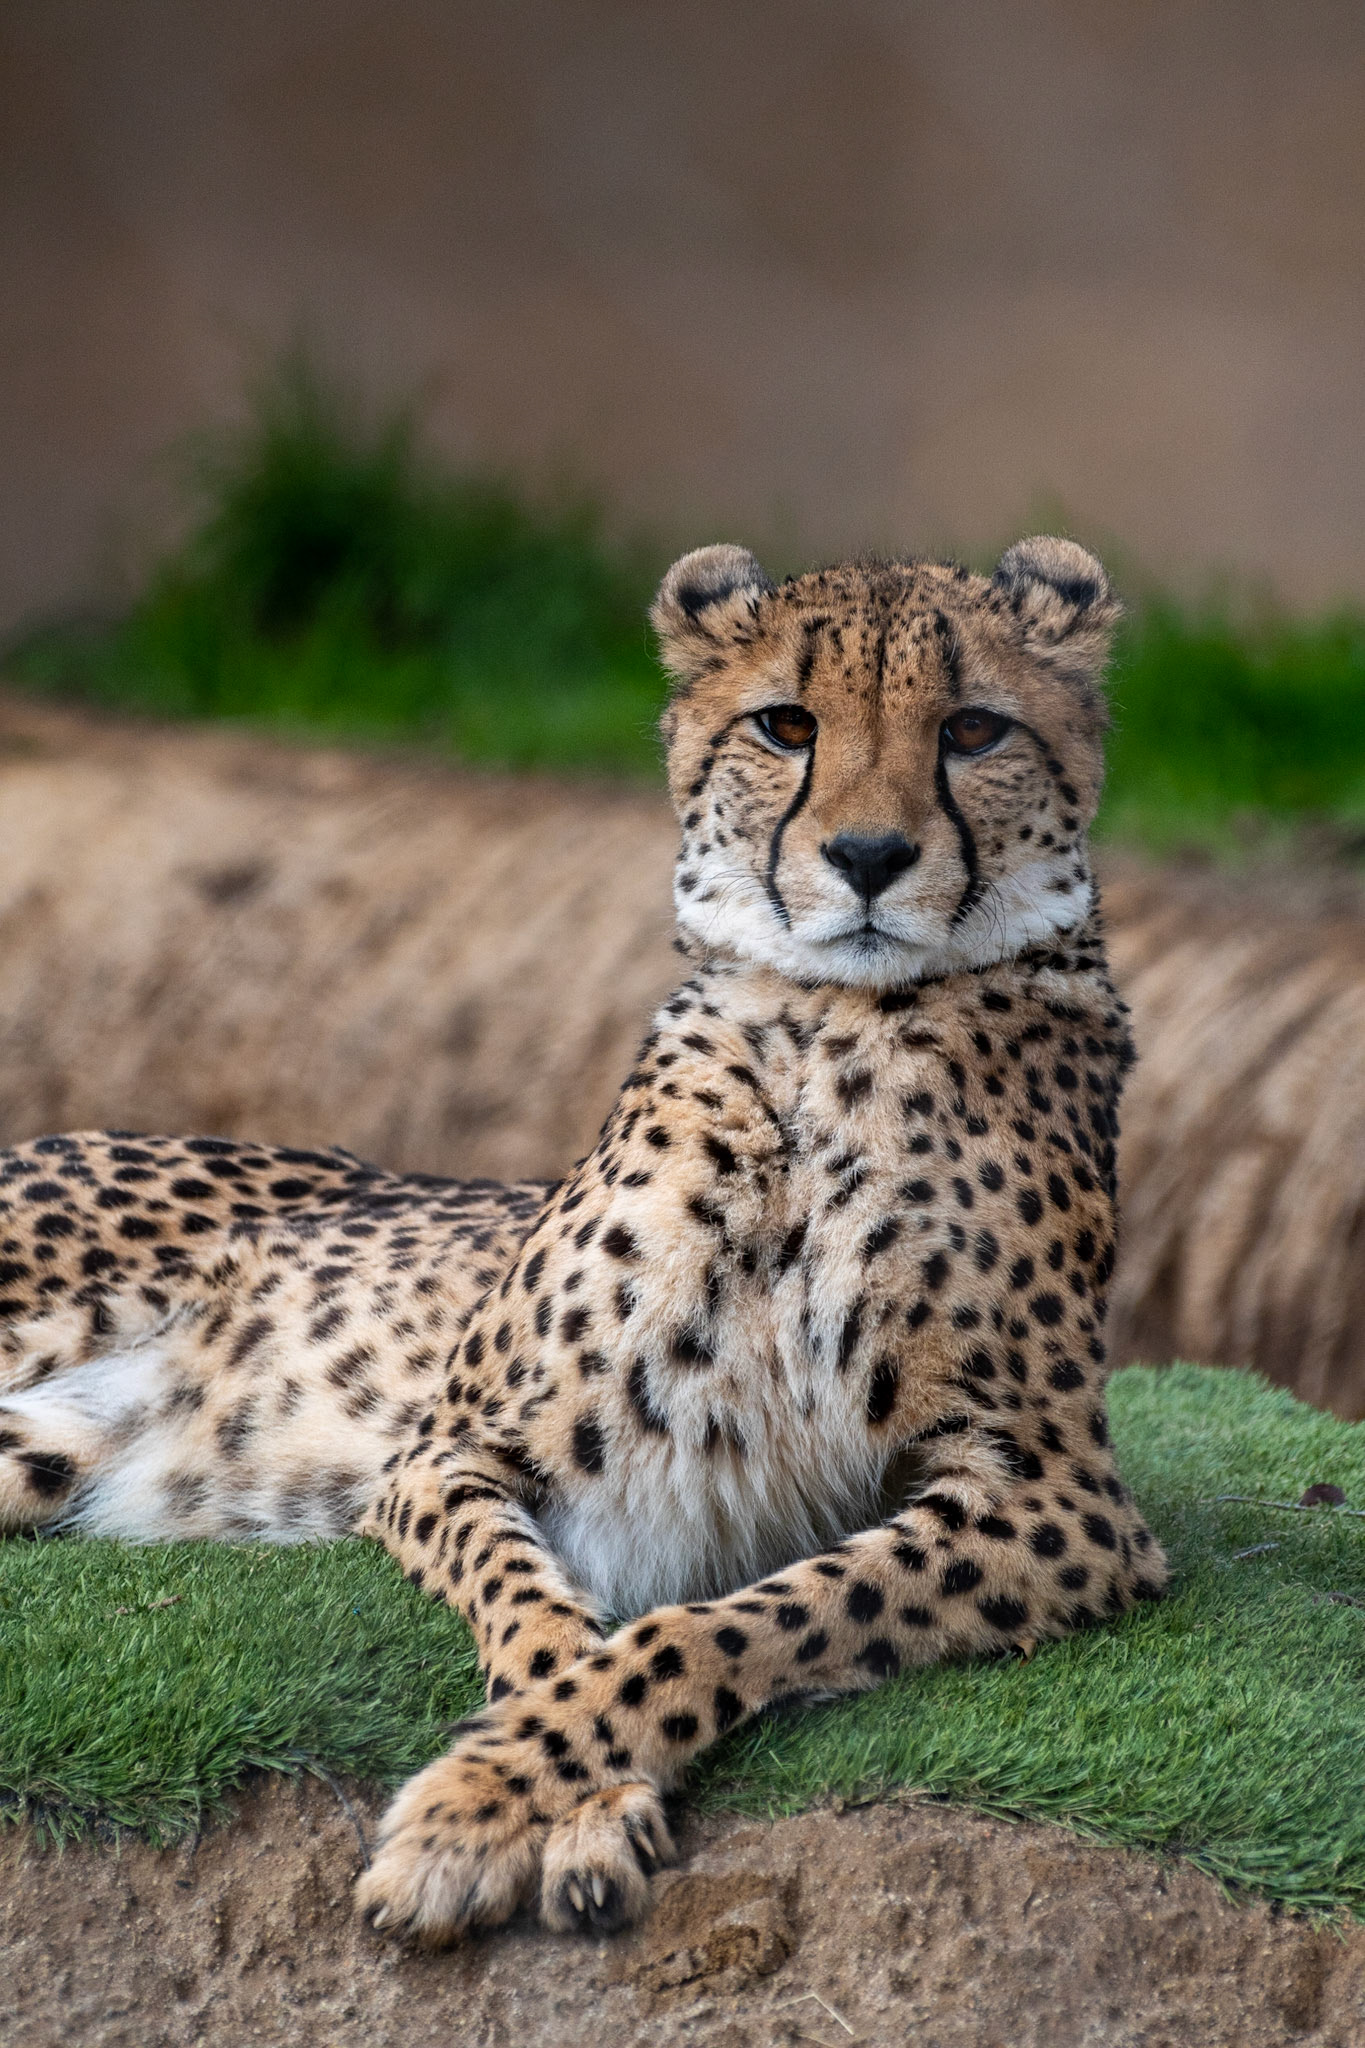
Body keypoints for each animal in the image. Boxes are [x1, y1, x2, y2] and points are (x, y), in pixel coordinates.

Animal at [0, 534, 1167, 1944]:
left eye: (974, 728)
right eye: (787, 724)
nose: (870, 854)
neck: (828, 1024)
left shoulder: (1059, 1497)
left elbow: (730, 1623)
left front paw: (488, 1803)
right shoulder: (444, 1455)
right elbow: (549, 1617)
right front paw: (543, 1800)